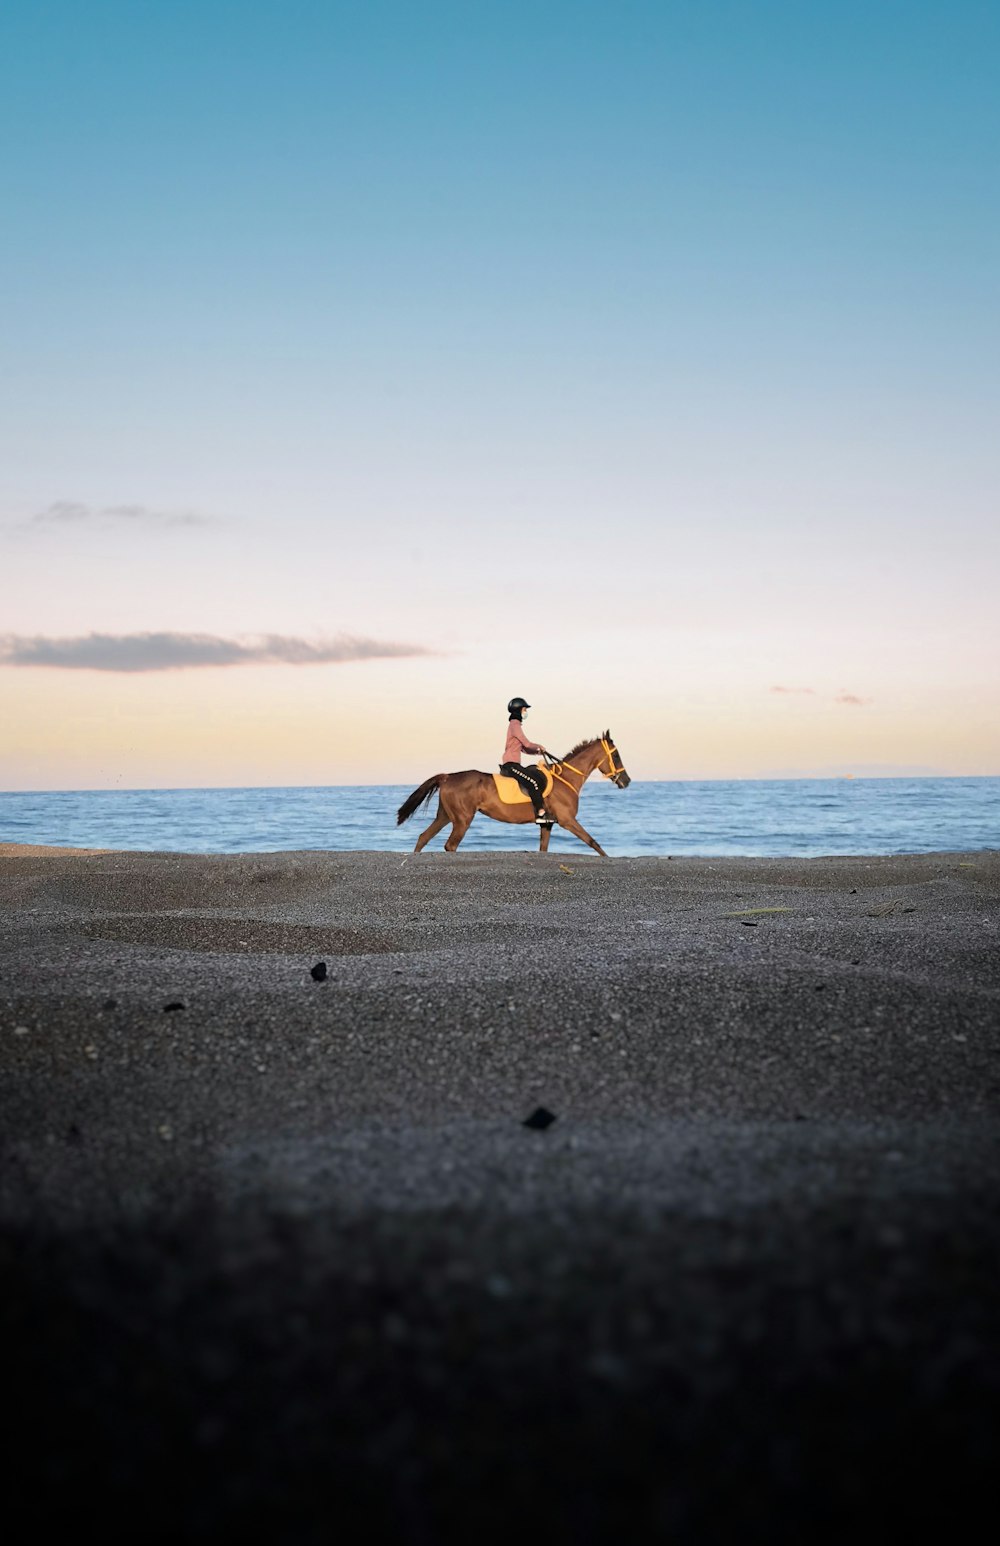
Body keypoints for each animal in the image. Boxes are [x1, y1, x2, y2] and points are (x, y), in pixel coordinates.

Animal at [395, 732, 630, 859]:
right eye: (616, 756)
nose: (626, 781)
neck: (566, 780)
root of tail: (447, 777)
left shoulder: (547, 824)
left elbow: (544, 849)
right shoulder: (567, 820)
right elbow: (592, 841)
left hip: (445, 815)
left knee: (423, 837)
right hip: (462, 819)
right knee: (450, 845)